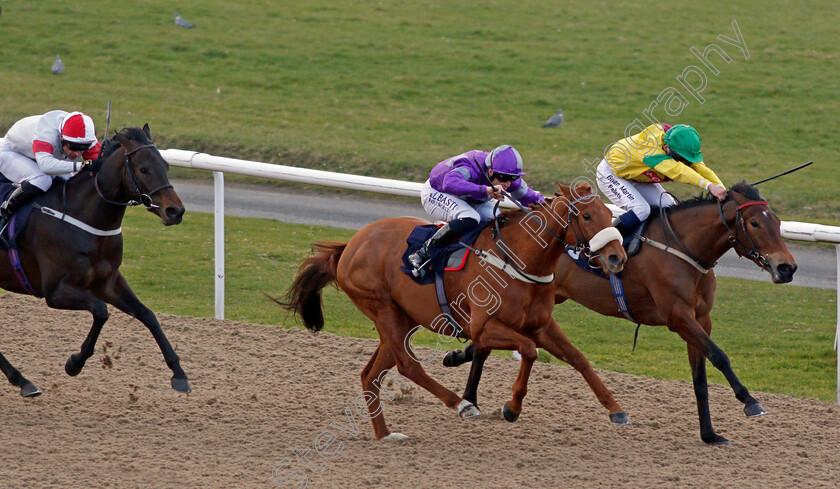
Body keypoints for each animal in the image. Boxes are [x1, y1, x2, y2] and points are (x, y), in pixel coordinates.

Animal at [0, 126, 190, 396]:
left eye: (166, 165)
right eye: (144, 169)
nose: (175, 211)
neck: (84, 218)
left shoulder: (107, 280)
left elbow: (147, 314)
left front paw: (179, 373)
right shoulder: (55, 291)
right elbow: (101, 311)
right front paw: (74, 363)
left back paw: (22, 380)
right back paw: (21, 379)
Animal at [278, 182, 628, 438]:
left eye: (608, 214)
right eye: (586, 216)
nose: (617, 257)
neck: (519, 259)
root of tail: (350, 245)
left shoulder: (542, 325)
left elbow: (578, 359)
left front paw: (616, 408)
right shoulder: (483, 328)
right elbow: (529, 350)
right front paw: (511, 407)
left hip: (404, 319)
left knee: (371, 375)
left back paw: (385, 435)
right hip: (383, 309)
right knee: (408, 366)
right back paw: (460, 404)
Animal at [442, 181, 796, 444]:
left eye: (778, 223)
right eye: (754, 223)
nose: (787, 267)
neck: (683, 248)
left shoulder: (700, 319)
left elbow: (700, 378)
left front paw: (709, 434)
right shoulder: (678, 317)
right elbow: (719, 356)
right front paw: (750, 401)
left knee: (483, 343)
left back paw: (463, 373)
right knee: (487, 340)